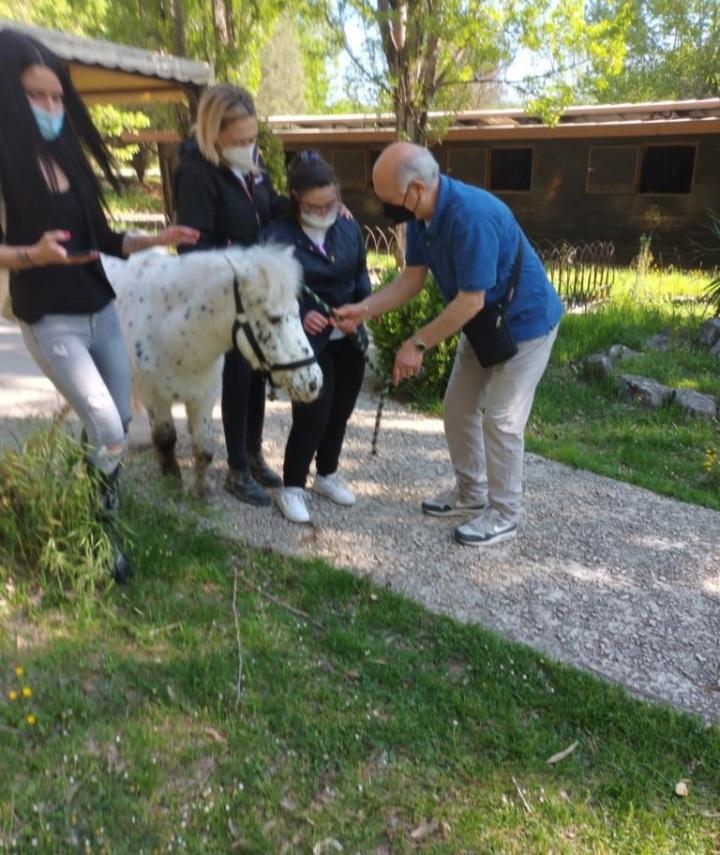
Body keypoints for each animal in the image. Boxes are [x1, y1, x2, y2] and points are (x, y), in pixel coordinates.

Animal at [103, 244, 323, 495]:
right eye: (273, 318)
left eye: (297, 310)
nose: (313, 383)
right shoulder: (155, 398)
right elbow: (165, 439)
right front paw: (172, 484)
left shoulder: (204, 397)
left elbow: (205, 448)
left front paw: (202, 491)